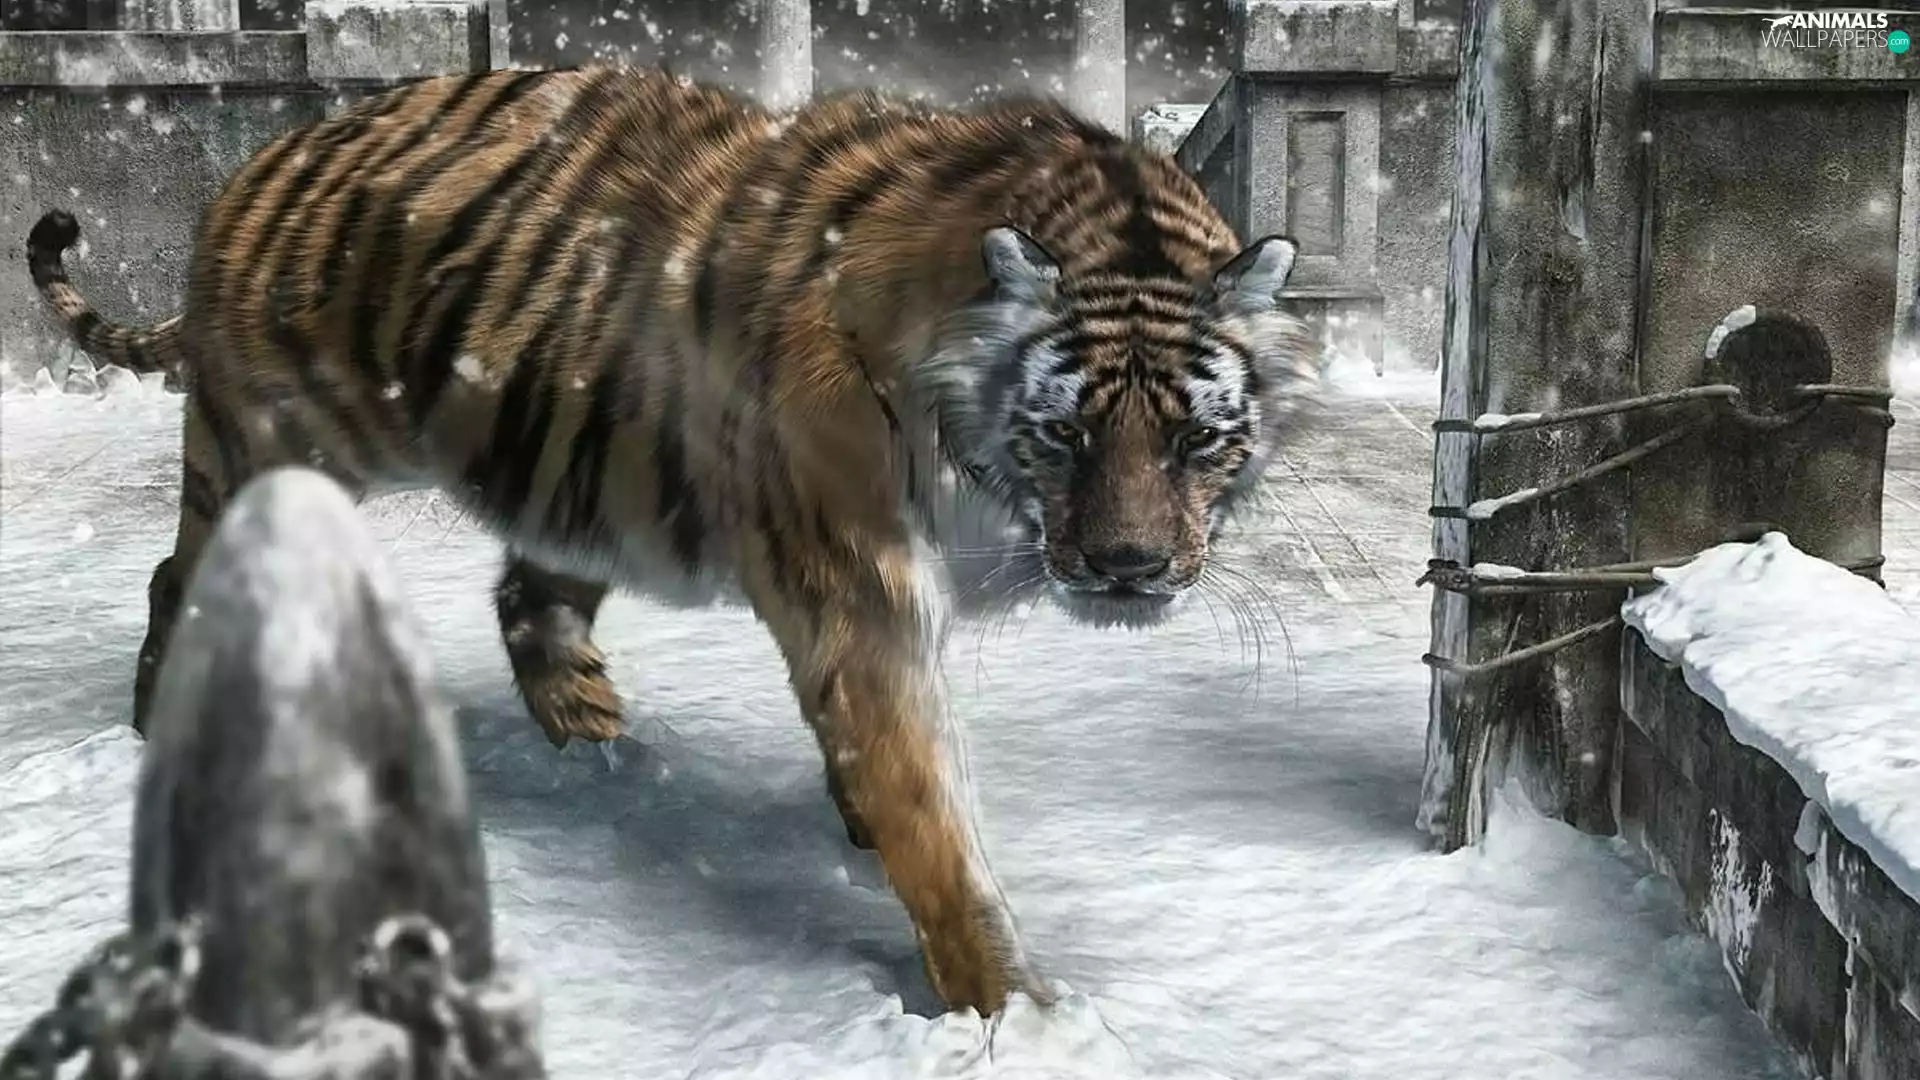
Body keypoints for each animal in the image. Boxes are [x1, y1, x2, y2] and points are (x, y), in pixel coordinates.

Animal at [26, 65, 1316, 1017]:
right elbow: (929, 808)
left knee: (529, 602)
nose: (1129, 570)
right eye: (1065, 432)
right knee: (180, 574)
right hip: (276, 445)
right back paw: (164, 722)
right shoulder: (862, 592)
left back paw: (601, 755)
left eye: (1197, 440)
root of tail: (264, 155)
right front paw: (1017, 1010)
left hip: (578, 477)